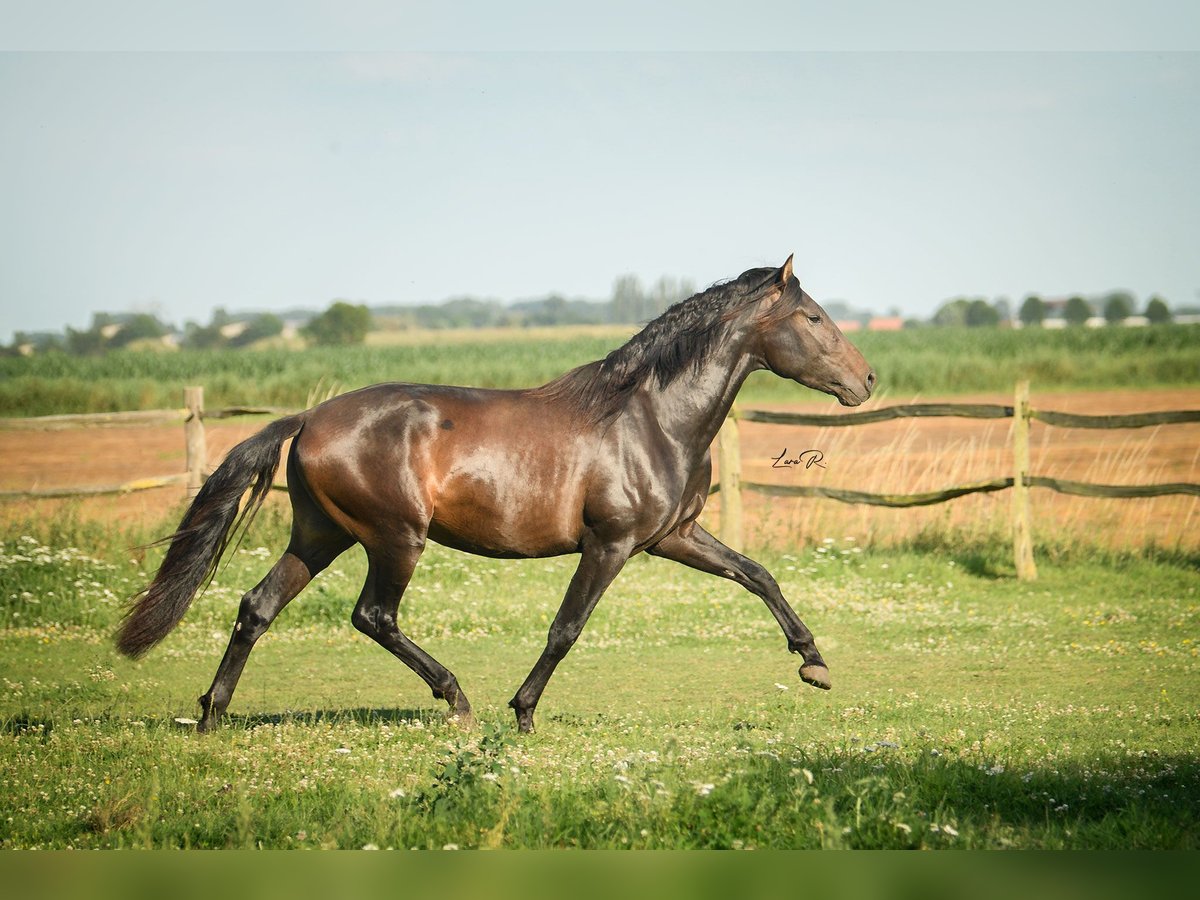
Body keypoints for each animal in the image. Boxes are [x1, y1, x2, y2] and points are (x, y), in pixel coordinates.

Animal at [117, 256, 878, 734]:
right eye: (813, 317)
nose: (867, 380)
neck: (651, 417)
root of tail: (305, 419)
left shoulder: (674, 537)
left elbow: (757, 575)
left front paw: (814, 664)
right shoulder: (612, 544)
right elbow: (566, 628)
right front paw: (524, 711)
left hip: (320, 535)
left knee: (257, 607)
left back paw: (211, 715)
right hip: (394, 539)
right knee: (373, 616)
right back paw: (456, 700)